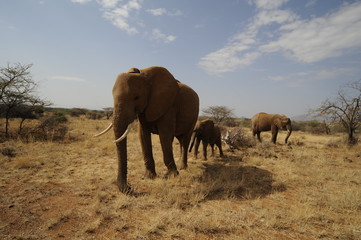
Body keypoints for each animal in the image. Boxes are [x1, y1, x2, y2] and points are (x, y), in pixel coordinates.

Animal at [94, 65, 198, 193]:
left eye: (136, 97)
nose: (129, 188)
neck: (144, 76)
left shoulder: (169, 106)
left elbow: (165, 136)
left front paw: (171, 176)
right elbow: (143, 135)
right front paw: (149, 177)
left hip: (194, 116)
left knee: (186, 139)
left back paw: (183, 168)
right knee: (180, 140)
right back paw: (180, 166)